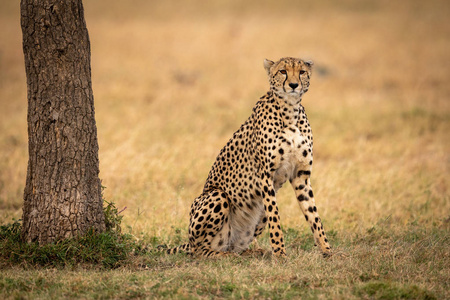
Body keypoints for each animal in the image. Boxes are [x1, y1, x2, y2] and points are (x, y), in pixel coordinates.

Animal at [167, 56, 332, 258]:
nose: (293, 85)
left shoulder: (301, 176)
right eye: (283, 71)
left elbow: (314, 215)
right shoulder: (265, 175)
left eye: (301, 72)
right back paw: (225, 256)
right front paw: (280, 253)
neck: (290, 111)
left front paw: (327, 250)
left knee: (234, 245)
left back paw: (251, 252)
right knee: (199, 250)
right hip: (217, 195)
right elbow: (275, 218)